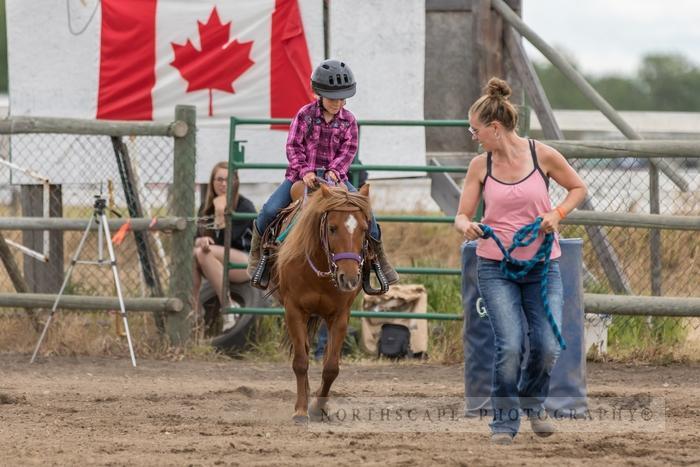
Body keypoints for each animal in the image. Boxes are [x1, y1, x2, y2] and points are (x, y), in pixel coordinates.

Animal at [276, 183, 372, 424]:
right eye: (332, 228)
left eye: (365, 229)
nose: (349, 278)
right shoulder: (294, 311)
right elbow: (301, 362)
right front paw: (301, 410)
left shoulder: (340, 316)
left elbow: (331, 367)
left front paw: (318, 407)